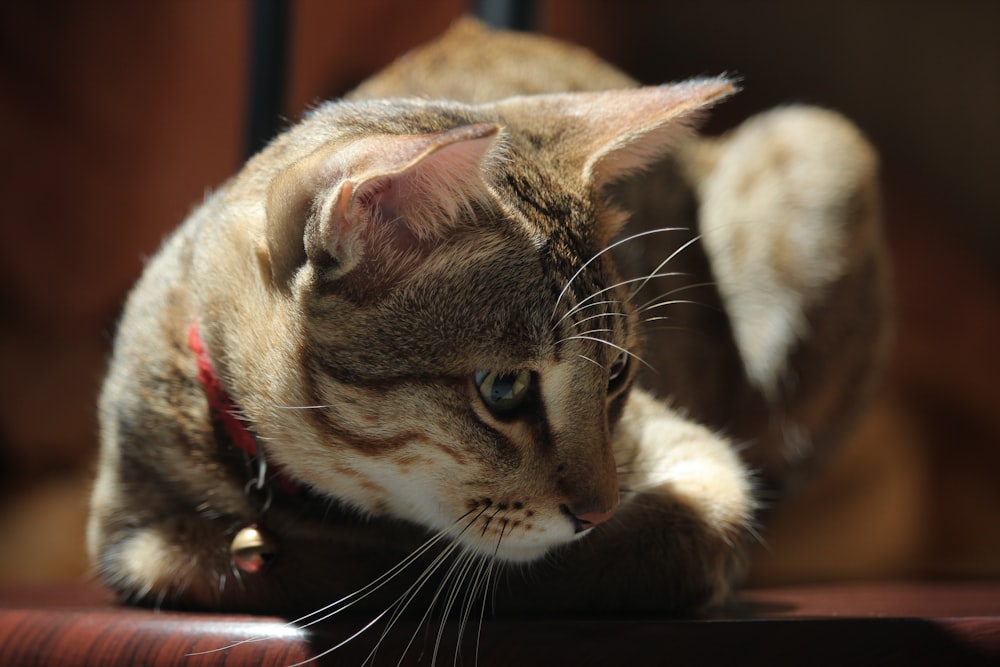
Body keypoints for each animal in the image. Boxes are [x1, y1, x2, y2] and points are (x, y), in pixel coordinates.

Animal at [90, 18, 892, 628]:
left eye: (619, 372)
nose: (598, 510)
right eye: (503, 389)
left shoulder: (692, 464)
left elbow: (679, 530)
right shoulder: (134, 533)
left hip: (819, 148)